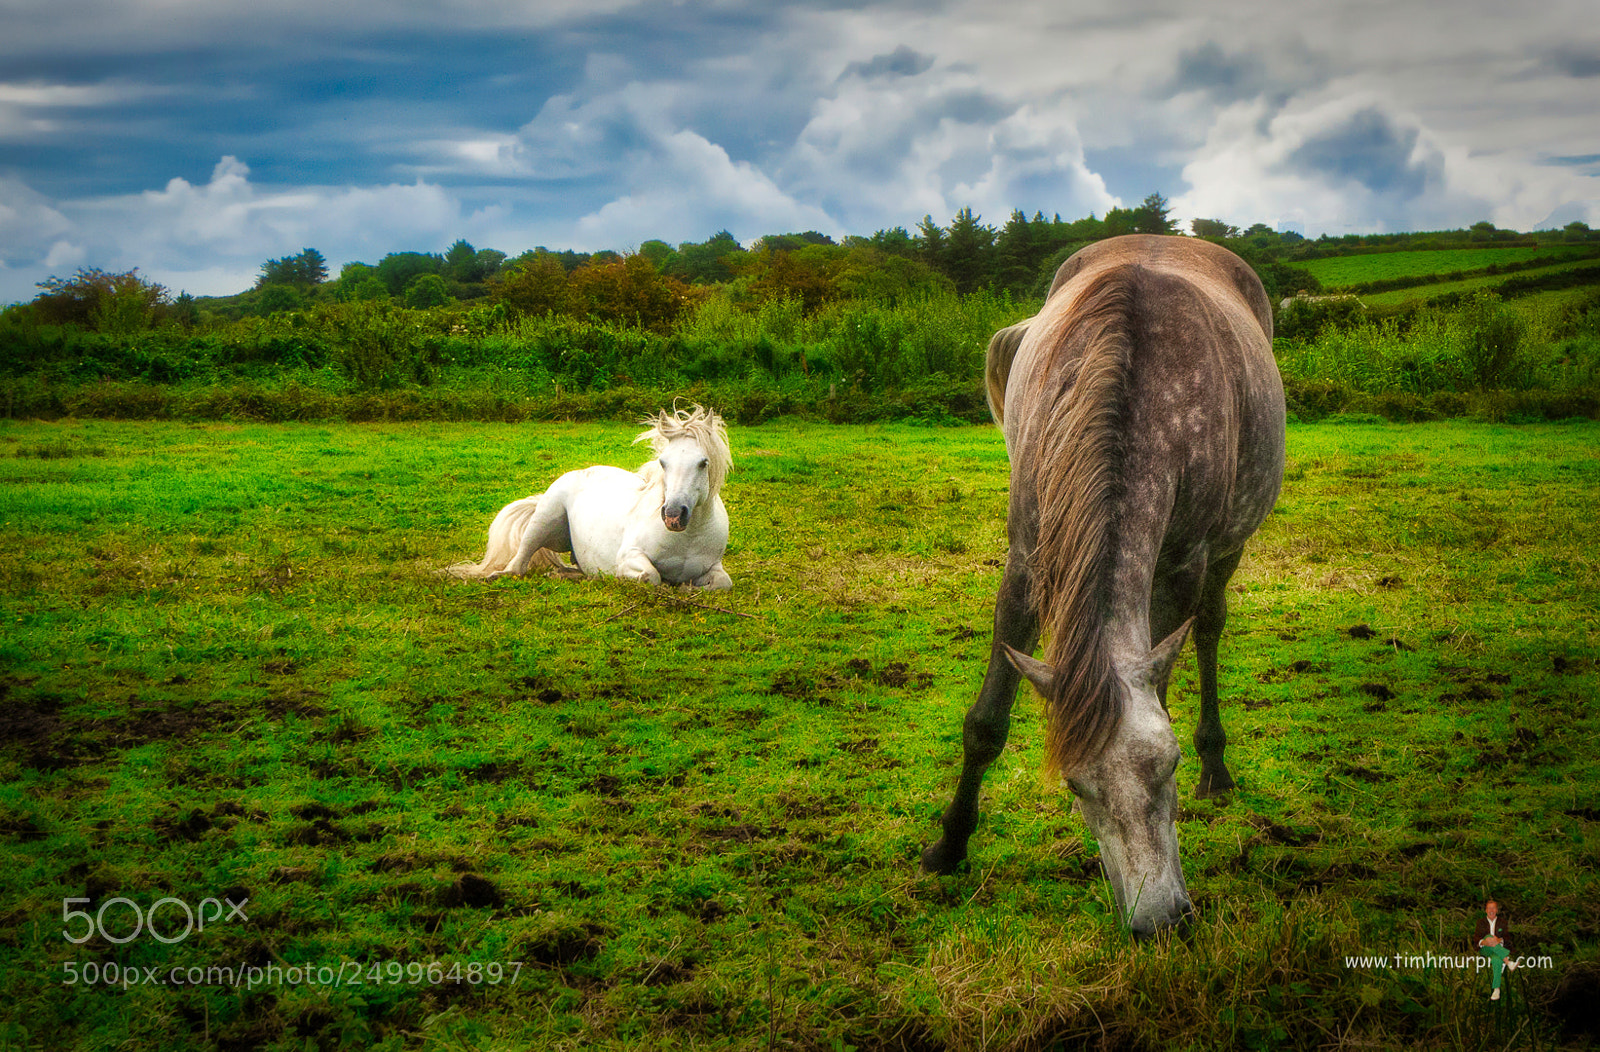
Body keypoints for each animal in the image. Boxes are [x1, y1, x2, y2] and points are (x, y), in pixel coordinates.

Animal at [449, 404, 734, 589]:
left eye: (703, 463)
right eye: (663, 462)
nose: (673, 516)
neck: (687, 538)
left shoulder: (714, 567)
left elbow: (723, 582)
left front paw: (688, 587)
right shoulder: (629, 557)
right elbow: (651, 577)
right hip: (543, 522)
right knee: (517, 566)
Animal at [921, 235, 1286, 937]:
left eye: (1169, 766)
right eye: (1075, 787)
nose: (1159, 919)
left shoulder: (1184, 562)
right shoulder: (1027, 560)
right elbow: (986, 723)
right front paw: (949, 846)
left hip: (1230, 546)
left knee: (1210, 629)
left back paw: (1219, 765)